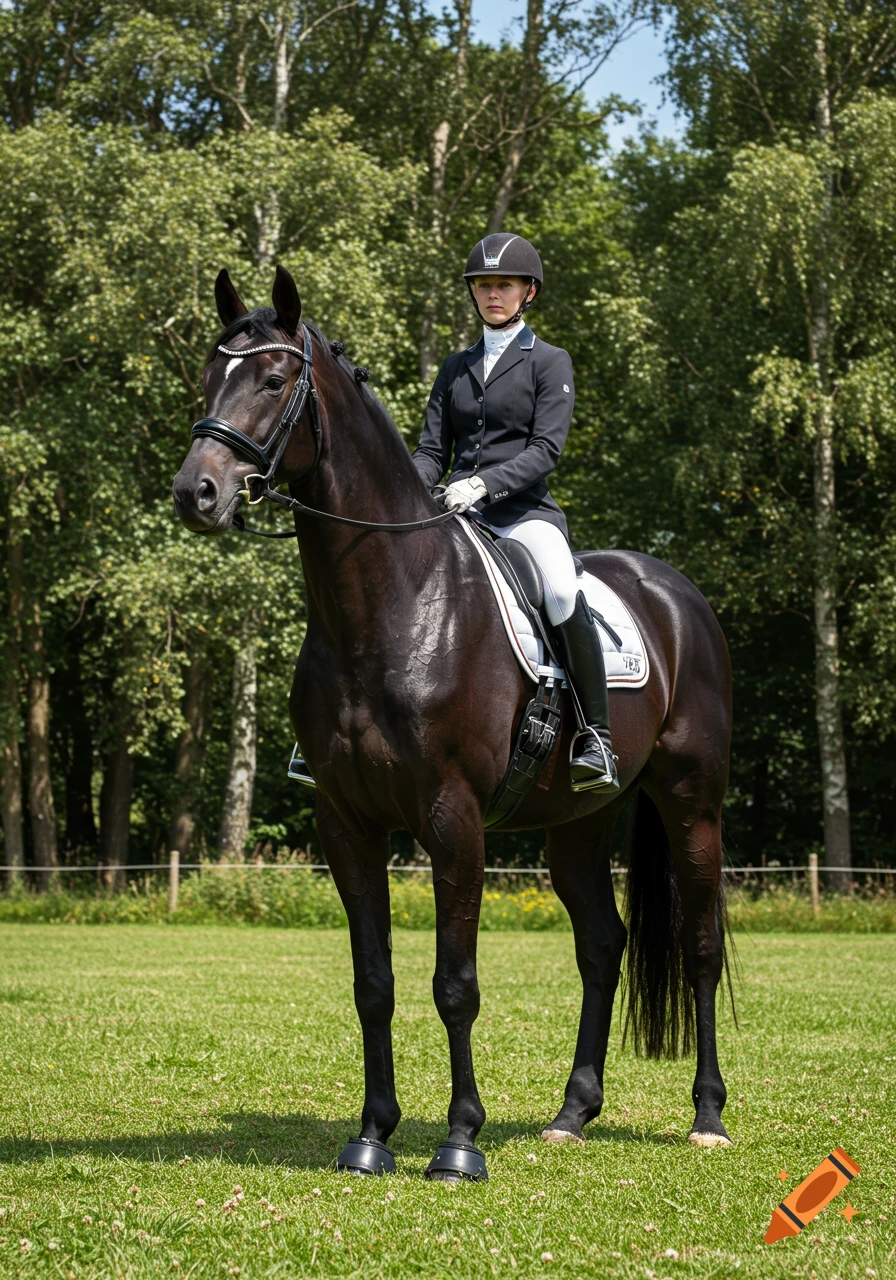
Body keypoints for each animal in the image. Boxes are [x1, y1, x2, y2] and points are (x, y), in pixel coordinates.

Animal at [172, 266, 734, 1180]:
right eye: (208, 375)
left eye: (275, 379)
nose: (198, 493)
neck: (392, 603)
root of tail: (676, 590)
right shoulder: (346, 821)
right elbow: (374, 984)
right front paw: (371, 1136)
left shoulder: (452, 819)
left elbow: (454, 985)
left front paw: (460, 1142)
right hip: (579, 820)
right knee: (601, 945)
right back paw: (571, 1115)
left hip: (692, 802)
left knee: (699, 946)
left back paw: (709, 1116)